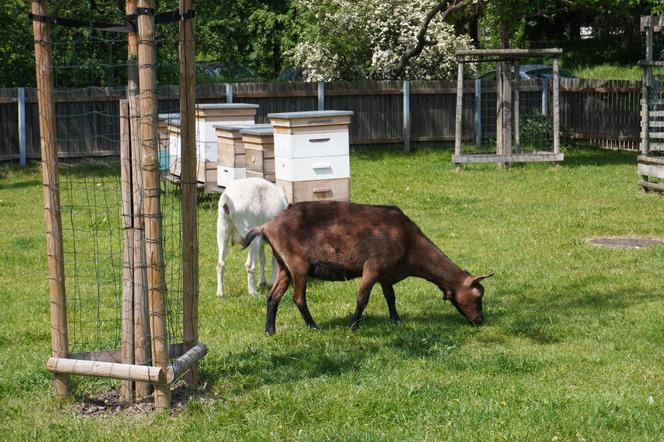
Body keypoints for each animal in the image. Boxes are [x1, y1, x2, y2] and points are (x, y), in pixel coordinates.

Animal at [241, 200, 490, 334]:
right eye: (477, 296)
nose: (480, 321)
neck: (408, 242)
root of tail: (268, 226)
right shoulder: (373, 267)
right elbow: (363, 298)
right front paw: (353, 326)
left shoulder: (387, 274)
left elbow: (391, 297)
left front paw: (396, 320)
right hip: (298, 264)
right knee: (298, 298)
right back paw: (313, 326)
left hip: (284, 265)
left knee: (273, 296)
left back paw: (270, 331)